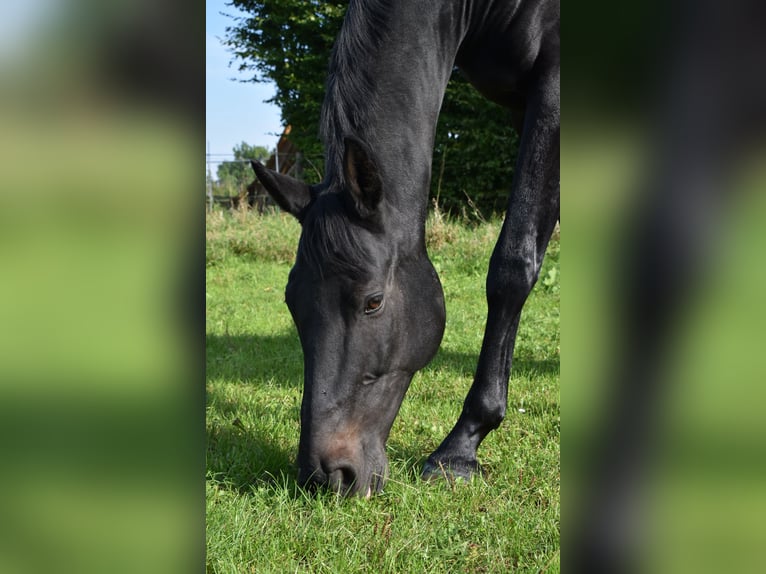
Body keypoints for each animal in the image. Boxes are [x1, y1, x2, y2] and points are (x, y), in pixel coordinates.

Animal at [251, 0, 559, 497]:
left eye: (373, 302)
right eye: (291, 302)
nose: (326, 476)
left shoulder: (550, 90)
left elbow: (512, 265)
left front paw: (460, 449)